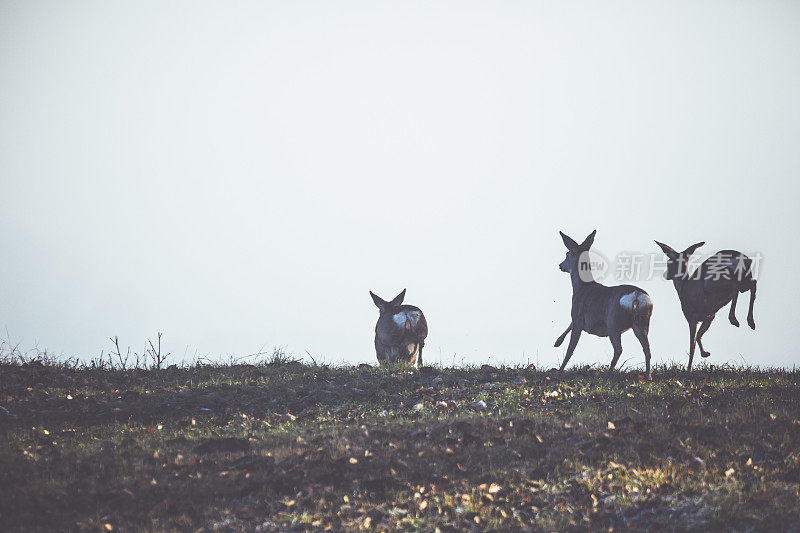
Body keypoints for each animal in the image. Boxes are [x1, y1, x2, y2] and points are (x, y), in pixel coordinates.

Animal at [552, 231, 652, 380]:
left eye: (567, 254)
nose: (560, 265)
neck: (581, 288)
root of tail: (636, 295)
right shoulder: (580, 319)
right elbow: (569, 326)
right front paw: (557, 342)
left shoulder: (577, 315)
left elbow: (570, 349)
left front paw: (559, 372)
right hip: (642, 321)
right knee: (647, 349)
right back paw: (648, 376)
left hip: (613, 322)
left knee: (618, 349)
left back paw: (606, 378)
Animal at [652, 241, 760, 370]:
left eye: (668, 262)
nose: (665, 275)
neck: (682, 289)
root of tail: (740, 257)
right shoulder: (709, 317)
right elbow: (699, 336)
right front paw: (705, 353)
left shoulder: (692, 317)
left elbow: (692, 344)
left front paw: (688, 369)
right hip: (745, 278)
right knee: (752, 284)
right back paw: (750, 322)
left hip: (715, 281)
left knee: (736, 288)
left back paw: (734, 319)